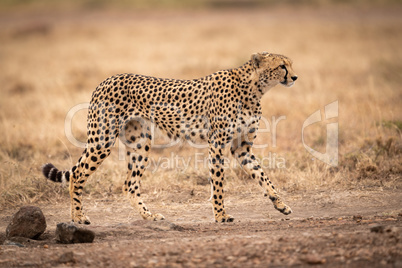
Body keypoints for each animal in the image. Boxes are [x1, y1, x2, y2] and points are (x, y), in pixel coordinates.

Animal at [42, 51, 296, 223]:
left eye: (291, 64)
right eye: (282, 66)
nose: (294, 77)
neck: (253, 89)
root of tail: (107, 79)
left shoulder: (241, 147)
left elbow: (263, 176)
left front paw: (280, 204)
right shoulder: (217, 143)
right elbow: (218, 183)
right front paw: (221, 215)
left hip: (140, 142)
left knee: (129, 184)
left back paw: (149, 216)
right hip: (102, 139)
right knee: (77, 174)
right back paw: (78, 218)